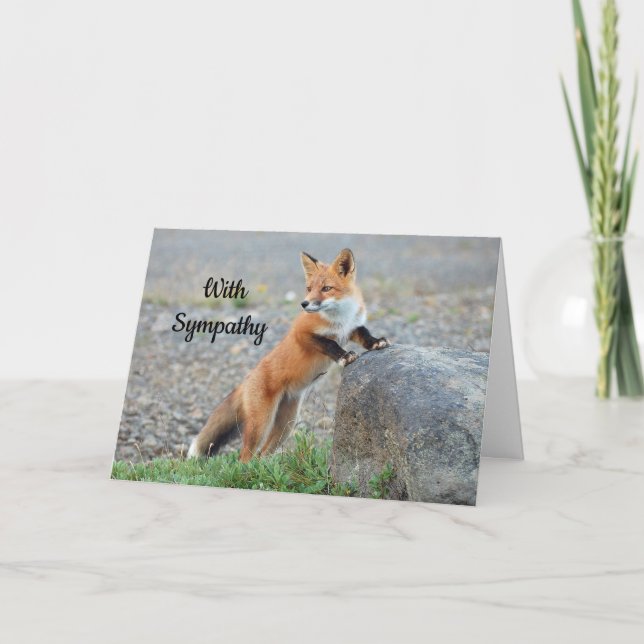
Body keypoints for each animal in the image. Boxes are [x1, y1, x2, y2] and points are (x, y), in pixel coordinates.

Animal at [188, 248, 390, 463]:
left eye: (326, 288)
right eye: (308, 288)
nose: (304, 303)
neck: (340, 319)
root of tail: (247, 379)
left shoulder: (352, 327)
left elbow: (365, 334)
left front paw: (377, 343)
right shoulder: (301, 333)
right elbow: (330, 343)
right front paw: (344, 356)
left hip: (286, 424)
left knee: (262, 454)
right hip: (261, 423)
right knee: (245, 456)